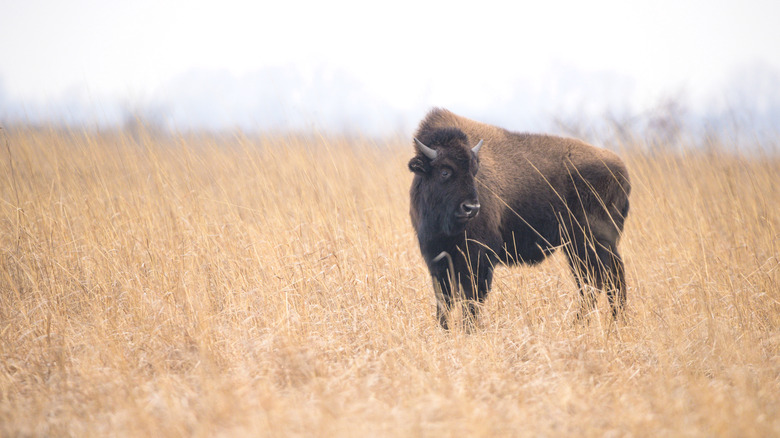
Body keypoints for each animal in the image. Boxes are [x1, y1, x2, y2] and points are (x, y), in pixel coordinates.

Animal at [408, 108, 631, 329]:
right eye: (445, 171)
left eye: (474, 171)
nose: (471, 208)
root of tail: (621, 171)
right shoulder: (438, 259)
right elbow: (444, 301)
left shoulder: (478, 258)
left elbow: (470, 298)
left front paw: (468, 330)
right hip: (581, 248)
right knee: (599, 280)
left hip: (590, 244)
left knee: (604, 279)